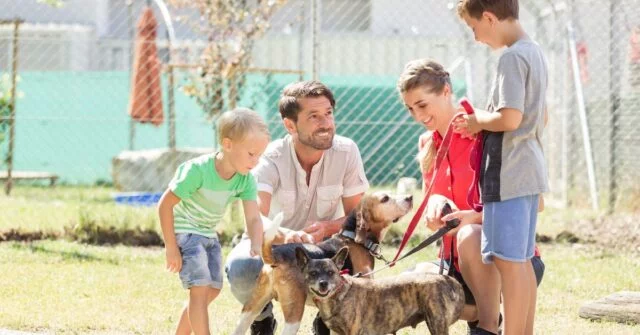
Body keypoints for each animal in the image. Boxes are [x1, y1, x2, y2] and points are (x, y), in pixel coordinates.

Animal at [232, 193, 412, 334]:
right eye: (385, 198)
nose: (410, 197)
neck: (354, 238)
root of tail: (276, 255)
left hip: (251, 308)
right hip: (294, 312)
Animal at [296, 247, 464, 335]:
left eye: (331, 272)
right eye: (313, 273)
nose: (323, 284)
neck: (339, 293)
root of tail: (446, 278)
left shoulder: (352, 331)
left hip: (437, 324)